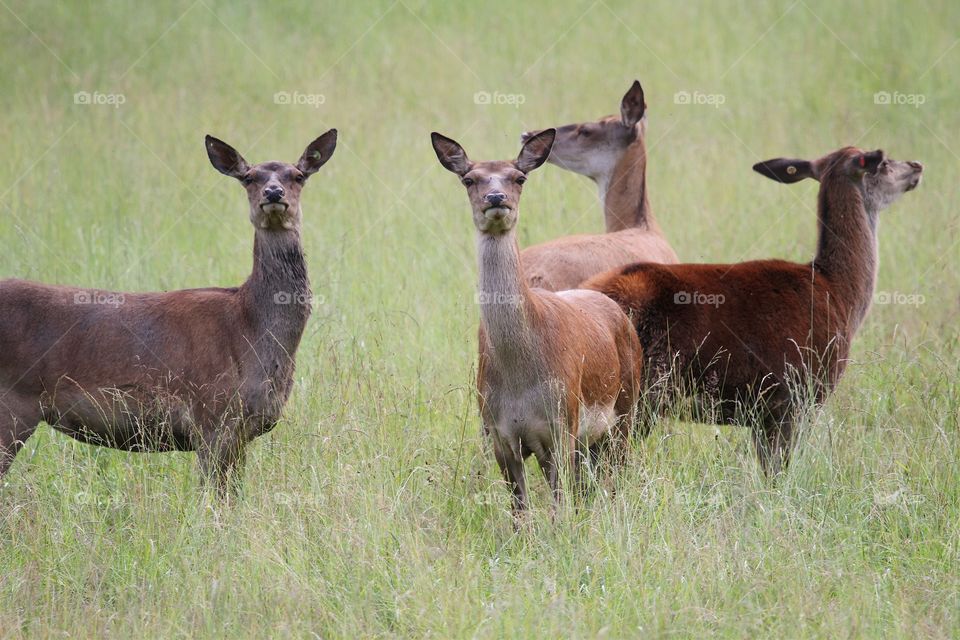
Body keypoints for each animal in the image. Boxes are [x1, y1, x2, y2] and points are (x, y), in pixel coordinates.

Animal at [0, 127, 338, 492]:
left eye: (298, 175)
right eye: (249, 177)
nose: (273, 192)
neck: (251, 328)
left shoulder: (239, 430)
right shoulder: (212, 415)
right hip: (12, 406)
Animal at [432, 129, 640, 516]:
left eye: (519, 178)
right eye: (469, 179)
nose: (495, 197)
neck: (519, 377)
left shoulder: (562, 426)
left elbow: (560, 509)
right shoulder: (500, 436)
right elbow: (520, 513)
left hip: (625, 409)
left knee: (615, 474)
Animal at [584, 146, 924, 476]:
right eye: (884, 162)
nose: (916, 165)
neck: (841, 296)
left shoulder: (764, 411)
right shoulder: (795, 397)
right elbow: (778, 474)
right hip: (646, 391)